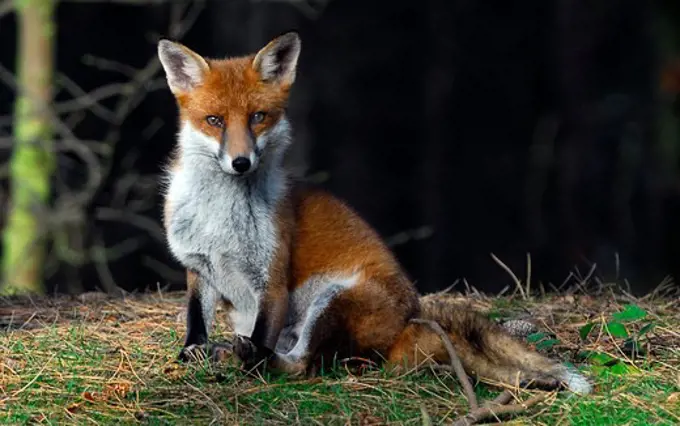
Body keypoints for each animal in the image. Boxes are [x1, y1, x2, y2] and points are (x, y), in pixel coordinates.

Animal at [157, 30, 592, 396]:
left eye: (257, 117)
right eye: (214, 121)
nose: (241, 163)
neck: (220, 221)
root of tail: (408, 323)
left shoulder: (272, 277)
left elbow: (262, 334)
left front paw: (245, 362)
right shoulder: (199, 267)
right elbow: (196, 322)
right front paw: (192, 354)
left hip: (331, 298)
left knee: (301, 364)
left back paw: (255, 360)